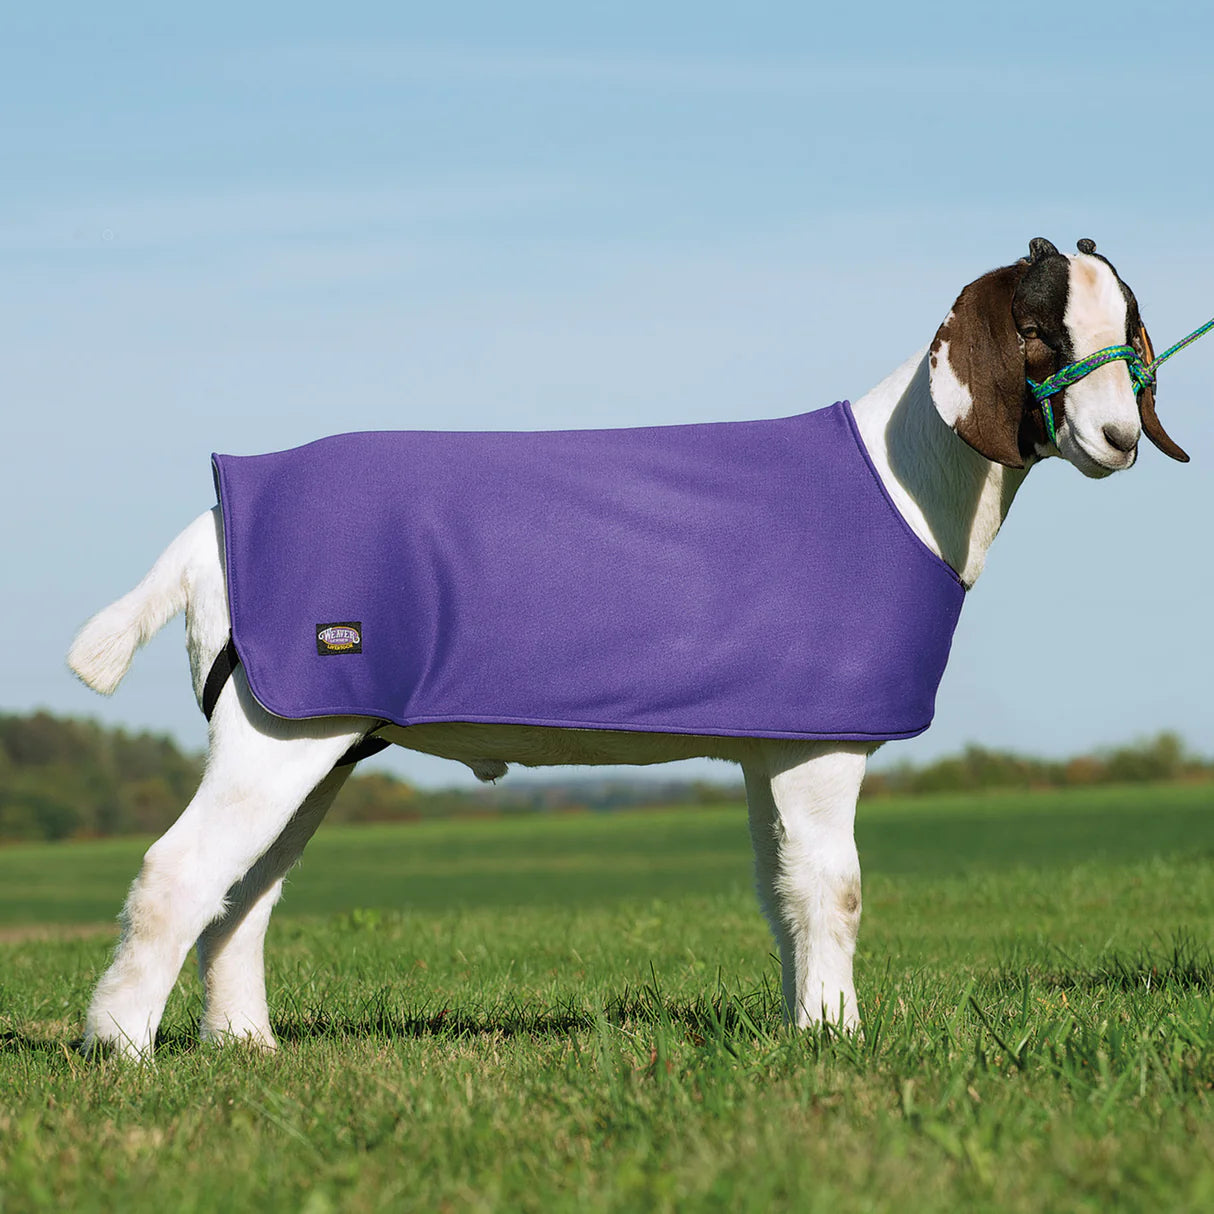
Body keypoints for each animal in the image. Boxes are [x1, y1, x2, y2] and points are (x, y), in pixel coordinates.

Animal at [68, 237, 1188, 1058]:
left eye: (1129, 332)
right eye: (1035, 329)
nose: (1117, 440)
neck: (899, 477)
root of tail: (212, 520)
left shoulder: (773, 740)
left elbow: (782, 892)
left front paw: (803, 1028)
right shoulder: (824, 746)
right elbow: (834, 888)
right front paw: (839, 1035)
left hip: (313, 734)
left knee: (245, 890)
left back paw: (244, 1046)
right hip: (278, 730)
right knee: (179, 872)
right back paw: (121, 1051)